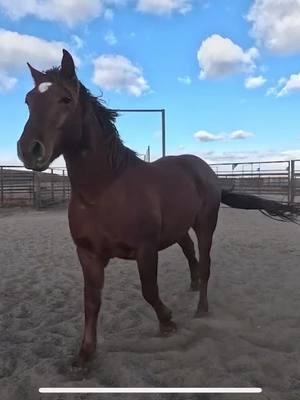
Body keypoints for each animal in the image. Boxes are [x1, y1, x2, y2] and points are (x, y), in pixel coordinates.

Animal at [17, 49, 300, 366]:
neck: (103, 191)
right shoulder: (88, 254)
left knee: (205, 264)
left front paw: (168, 322)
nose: (29, 150)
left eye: (66, 99)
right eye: (29, 100)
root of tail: (204, 169)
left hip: (206, 224)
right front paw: (84, 355)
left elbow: (149, 291)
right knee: (191, 254)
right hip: (178, 229)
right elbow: (91, 302)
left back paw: (201, 308)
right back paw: (191, 286)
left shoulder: (146, 248)